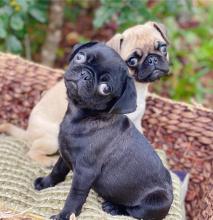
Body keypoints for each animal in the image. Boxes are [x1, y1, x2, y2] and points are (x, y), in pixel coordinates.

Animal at [0, 21, 170, 166]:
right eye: (132, 61)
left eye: (163, 48)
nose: (153, 59)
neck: (138, 89)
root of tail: (27, 132)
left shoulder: (137, 123)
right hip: (53, 138)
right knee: (32, 152)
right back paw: (49, 161)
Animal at [33, 42, 173, 220]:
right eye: (80, 57)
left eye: (105, 89)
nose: (85, 74)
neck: (81, 116)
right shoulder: (64, 154)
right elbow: (57, 170)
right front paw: (45, 183)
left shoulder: (85, 172)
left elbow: (75, 196)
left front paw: (64, 215)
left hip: (156, 202)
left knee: (135, 212)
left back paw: (114, 208)